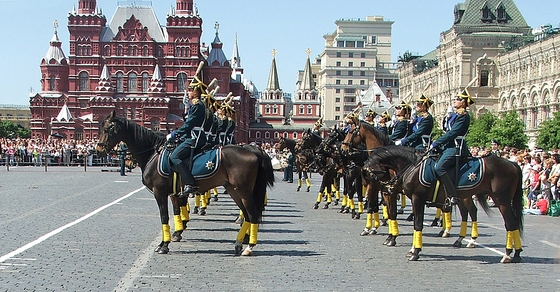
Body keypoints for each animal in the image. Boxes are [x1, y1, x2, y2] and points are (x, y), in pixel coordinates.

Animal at [97, 110, 276, 256]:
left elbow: (164, 216)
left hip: (243, 191)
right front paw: (175, 234)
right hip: (234, 190)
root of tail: (252, 150)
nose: (99, 149)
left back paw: (249, 247)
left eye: (108, 129)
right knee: (247, 214)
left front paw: (165, 244)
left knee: (252, 214)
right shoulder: (175, 192)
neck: (153, 154)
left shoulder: (160, 192)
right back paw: (240, 242)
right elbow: (176, 211)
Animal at [364, 146, 524, 262]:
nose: (388, 188)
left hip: (501, 200)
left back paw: (507, 254)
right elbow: (399, 217)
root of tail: (512, 163)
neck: (413, 167)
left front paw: (414, 251)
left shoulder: (418, 199)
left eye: (372, 173)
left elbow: (417, 224)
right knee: (471, 213)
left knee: (510, 223)